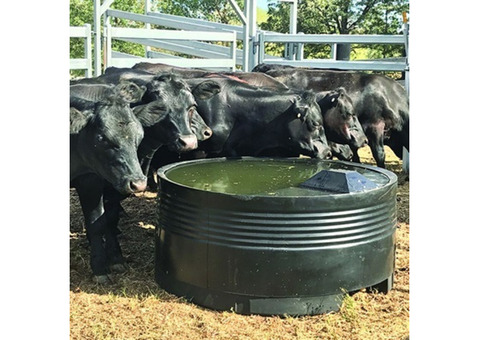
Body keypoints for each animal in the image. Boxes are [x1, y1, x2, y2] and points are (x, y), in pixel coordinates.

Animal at [68, 81, 145, 282]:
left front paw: (107, 264)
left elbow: (101, 221)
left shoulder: (98, 182)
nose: (138, 183)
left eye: (140, 136)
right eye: (101, 138)